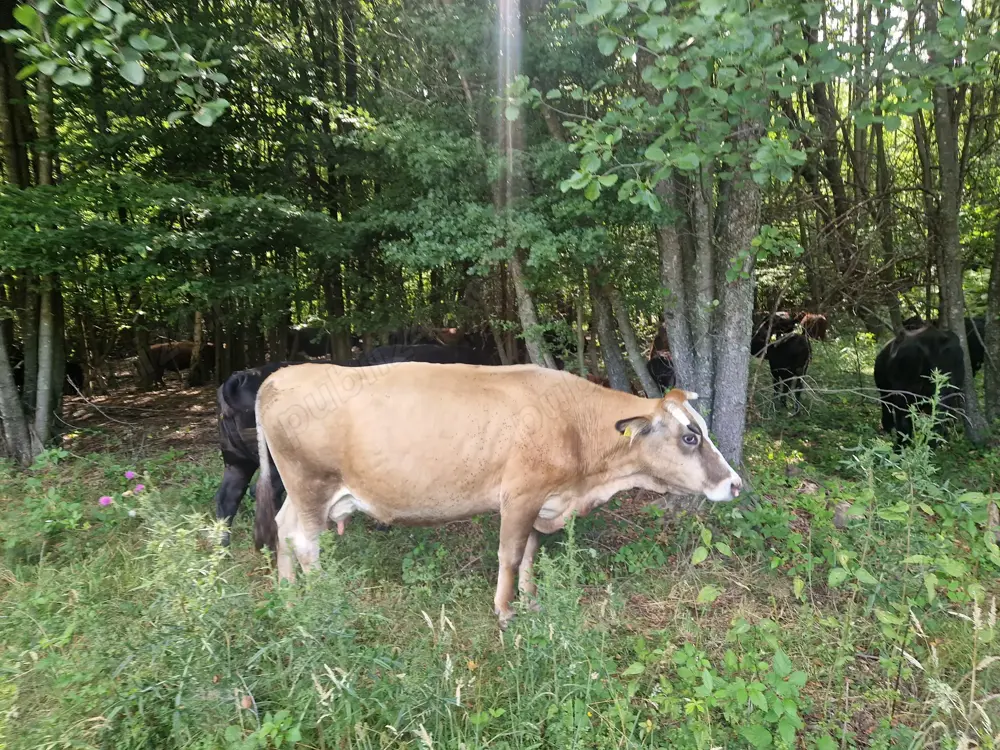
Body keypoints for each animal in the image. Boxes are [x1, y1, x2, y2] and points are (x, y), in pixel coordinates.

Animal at [252, 363, 742, 628]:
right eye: (690, 436)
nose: (735, 483)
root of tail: (279, 375)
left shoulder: (543, 498)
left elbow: (530, 552)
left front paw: (532, 598)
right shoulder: (521, 495)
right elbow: (510, 553)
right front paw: (506, 610)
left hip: (299, 490)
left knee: (282, 529)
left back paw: (288, 594)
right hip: (311, 482)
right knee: (305, 542)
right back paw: (320, 597)